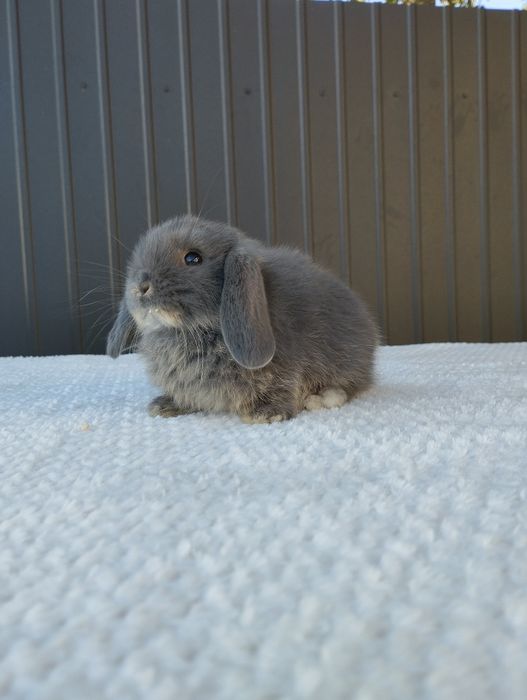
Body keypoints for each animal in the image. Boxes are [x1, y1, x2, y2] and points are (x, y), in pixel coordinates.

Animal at [106, 215, 379, 423]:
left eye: (193, 258)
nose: (140, 287)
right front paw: (165, 405)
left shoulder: (288, 365)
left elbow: (284, 385)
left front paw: (266, 414)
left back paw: (321, 398)